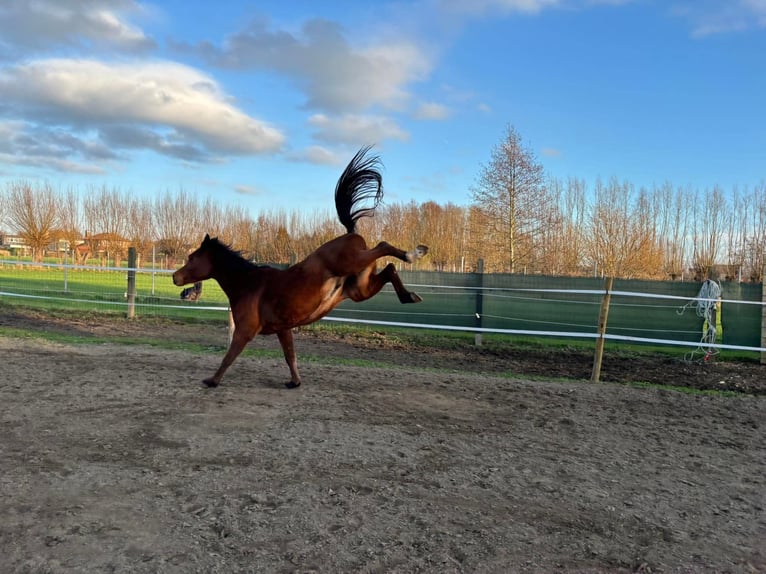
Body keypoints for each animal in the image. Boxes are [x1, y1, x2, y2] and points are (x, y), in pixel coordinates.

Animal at [172, 146, 428, 389]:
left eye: (192, 257)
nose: (175, 277)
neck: (247, 283)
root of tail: (350, 233)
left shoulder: (245, 331)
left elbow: (229, 357)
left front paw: (212, 381)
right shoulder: (283, 329)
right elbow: (290, 355)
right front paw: (294, 382)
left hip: (355, 265)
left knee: (384, 247)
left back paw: (414, 254)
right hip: (360, 289)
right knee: (390, 269)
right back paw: (410, 295)